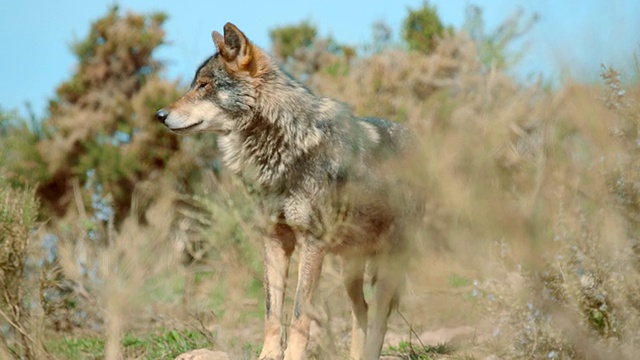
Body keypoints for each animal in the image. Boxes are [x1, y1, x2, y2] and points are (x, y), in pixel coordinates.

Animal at [156, 23, 420, 360]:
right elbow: (272, 311)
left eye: (203, 85)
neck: (282, 146)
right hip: (350, 267)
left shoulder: (312, 243)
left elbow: (298, 314)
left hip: (388, 261)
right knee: (361, 310)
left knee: (381, 313)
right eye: (194, 85)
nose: (160, 115)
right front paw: (268, 355)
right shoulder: (274, 240)